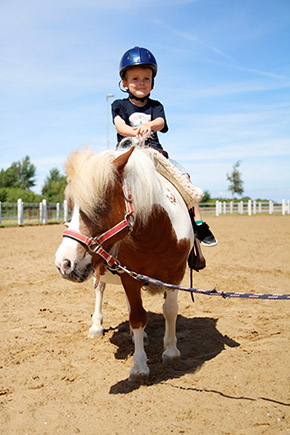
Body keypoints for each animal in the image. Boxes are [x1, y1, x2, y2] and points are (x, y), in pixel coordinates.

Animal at [55, 144, 197, 382]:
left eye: (99, 204)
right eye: (71, 206)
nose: (63, 263)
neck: (156, 236)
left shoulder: (175, 274)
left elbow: (169, 310)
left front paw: (171, 351)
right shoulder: (130, 278)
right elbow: (137, 316)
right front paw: (139, 366)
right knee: (100, 291)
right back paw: (96, 327)